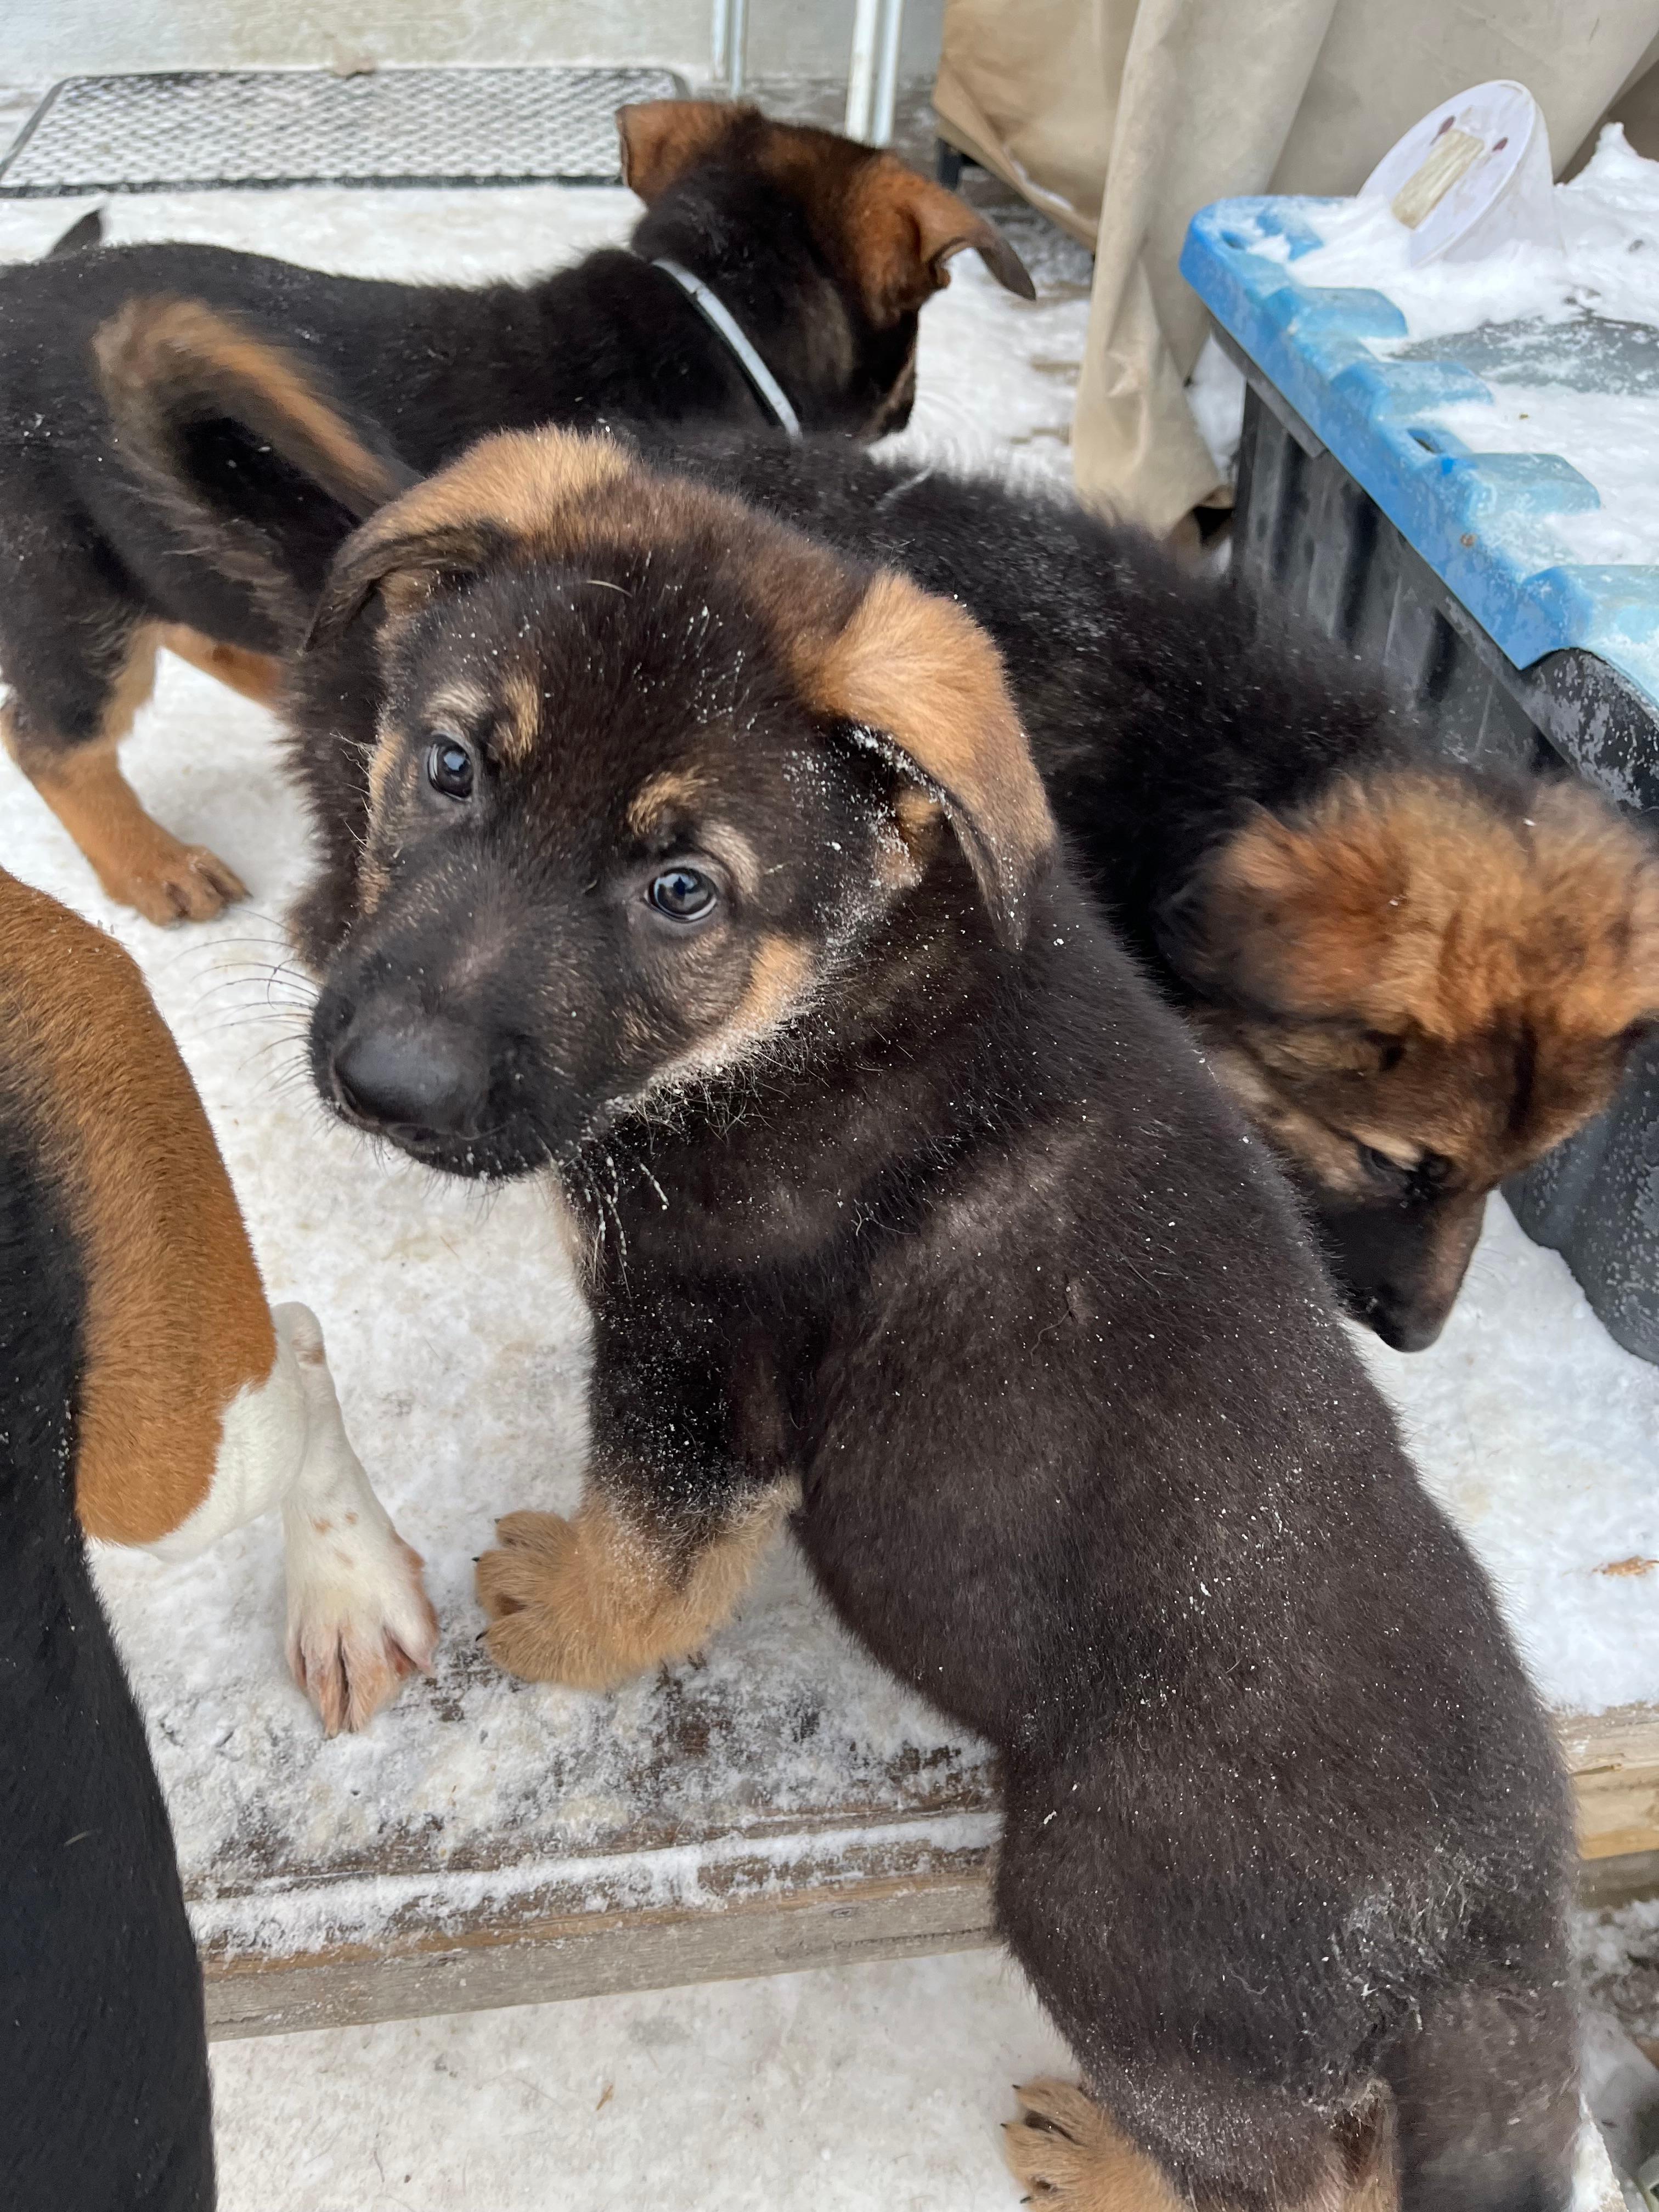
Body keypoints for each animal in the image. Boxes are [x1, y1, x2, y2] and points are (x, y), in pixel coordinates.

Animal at [276, 422, 1583, 2203]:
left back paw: (1099, 2156)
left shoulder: (702, 1358)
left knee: (1293, 2170)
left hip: (1109, 1932)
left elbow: (653, 1556)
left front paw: (566, 1623)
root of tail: (1490, 1941)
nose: (384, 1085)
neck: (822, 1005)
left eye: (681, 890)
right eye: (455, 767)